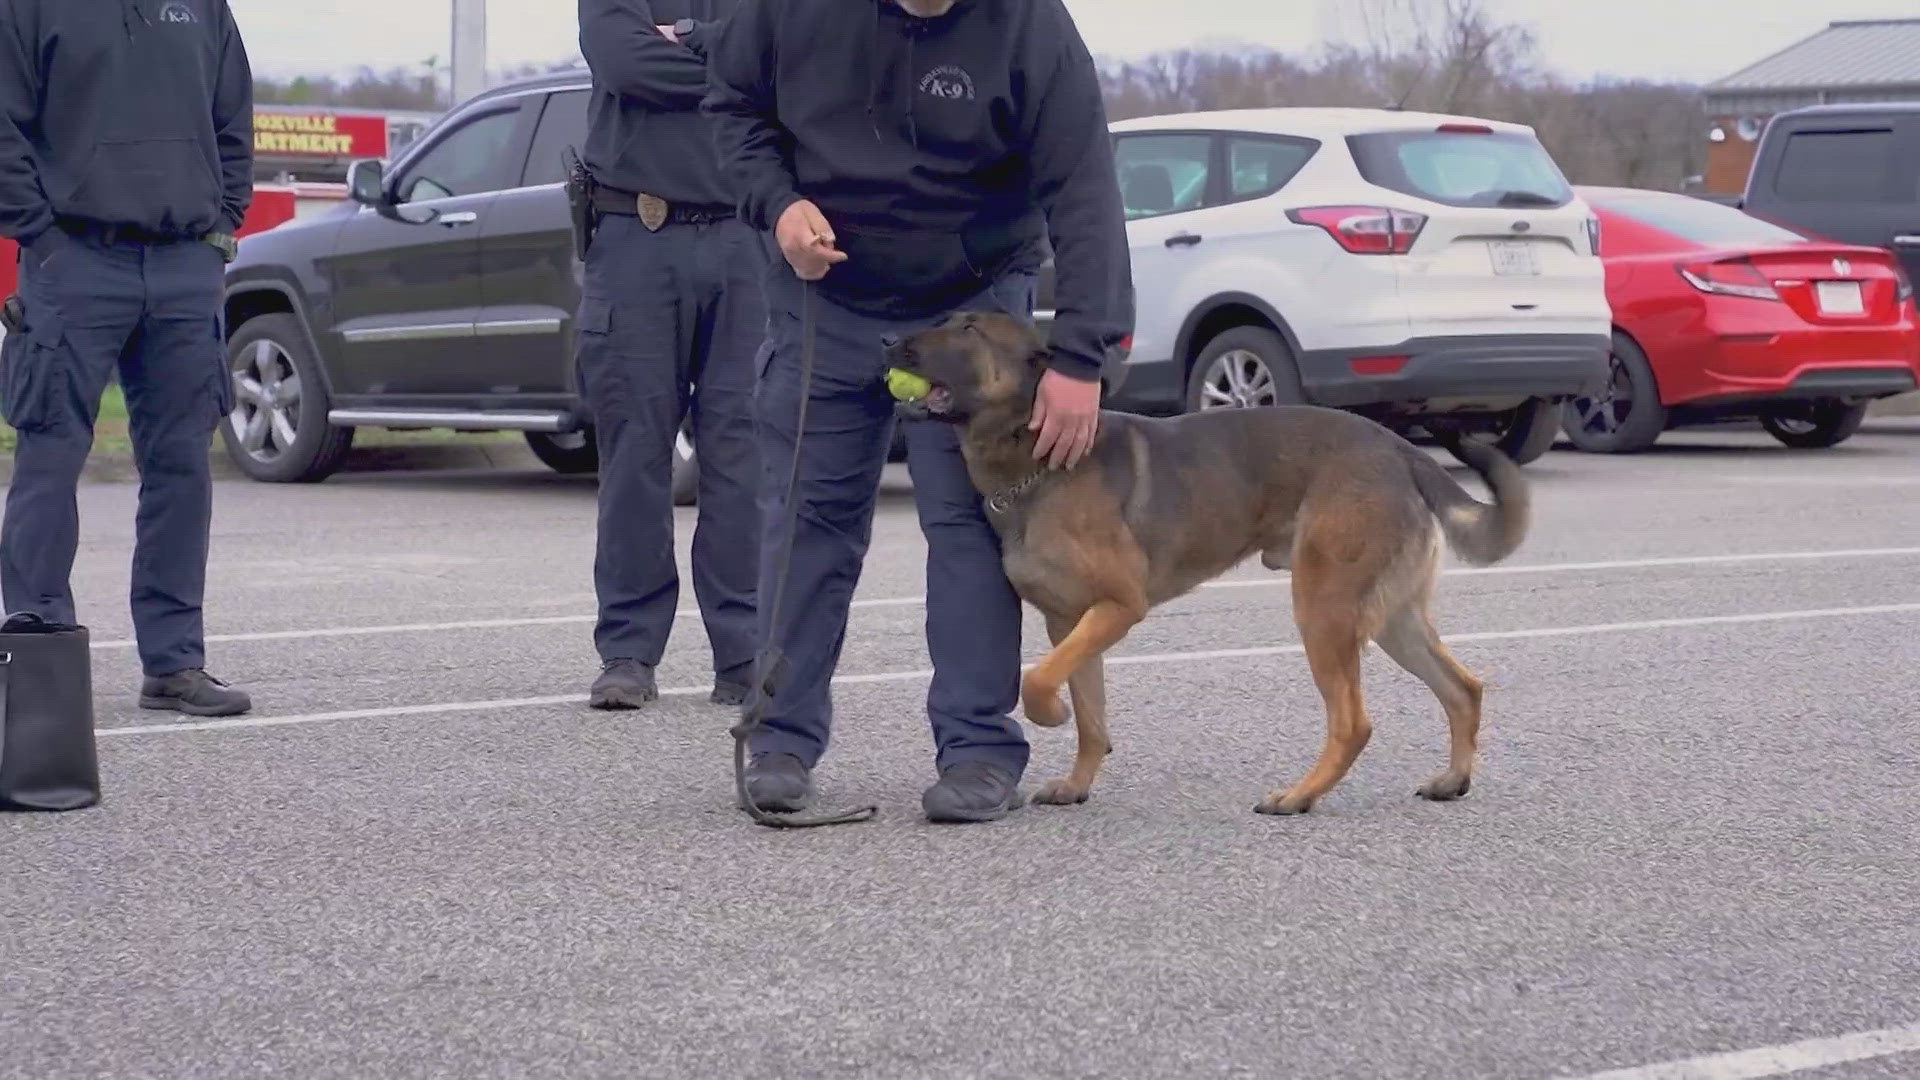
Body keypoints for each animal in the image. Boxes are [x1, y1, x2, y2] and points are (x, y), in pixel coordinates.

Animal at [883, 307, 1528, 810]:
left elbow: (1039, 679)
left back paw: (1300, 796)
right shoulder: (1070, 623)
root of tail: (1399, 449)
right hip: (1389, 617)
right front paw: (1077, 781)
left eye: (968, 328)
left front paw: (1048, 715)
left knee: (1354, 723)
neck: (1032, 461)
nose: (887, 340)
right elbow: (1090, 717)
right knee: (1463, 688)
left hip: (1324, 610)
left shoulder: (1119, 607)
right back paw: (1452, 779)